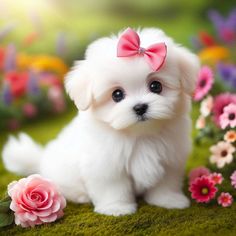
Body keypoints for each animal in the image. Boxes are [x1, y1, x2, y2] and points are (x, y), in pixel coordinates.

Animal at [2, 27, 200, 216]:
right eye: (117, 94)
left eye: (156, 86)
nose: (140, 107)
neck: (140, 135)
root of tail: (41, 161)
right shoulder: (105, 165)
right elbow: (113, 187)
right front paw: (116, 208)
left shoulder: (171, 159)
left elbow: (166, 182)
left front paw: (169, 200)